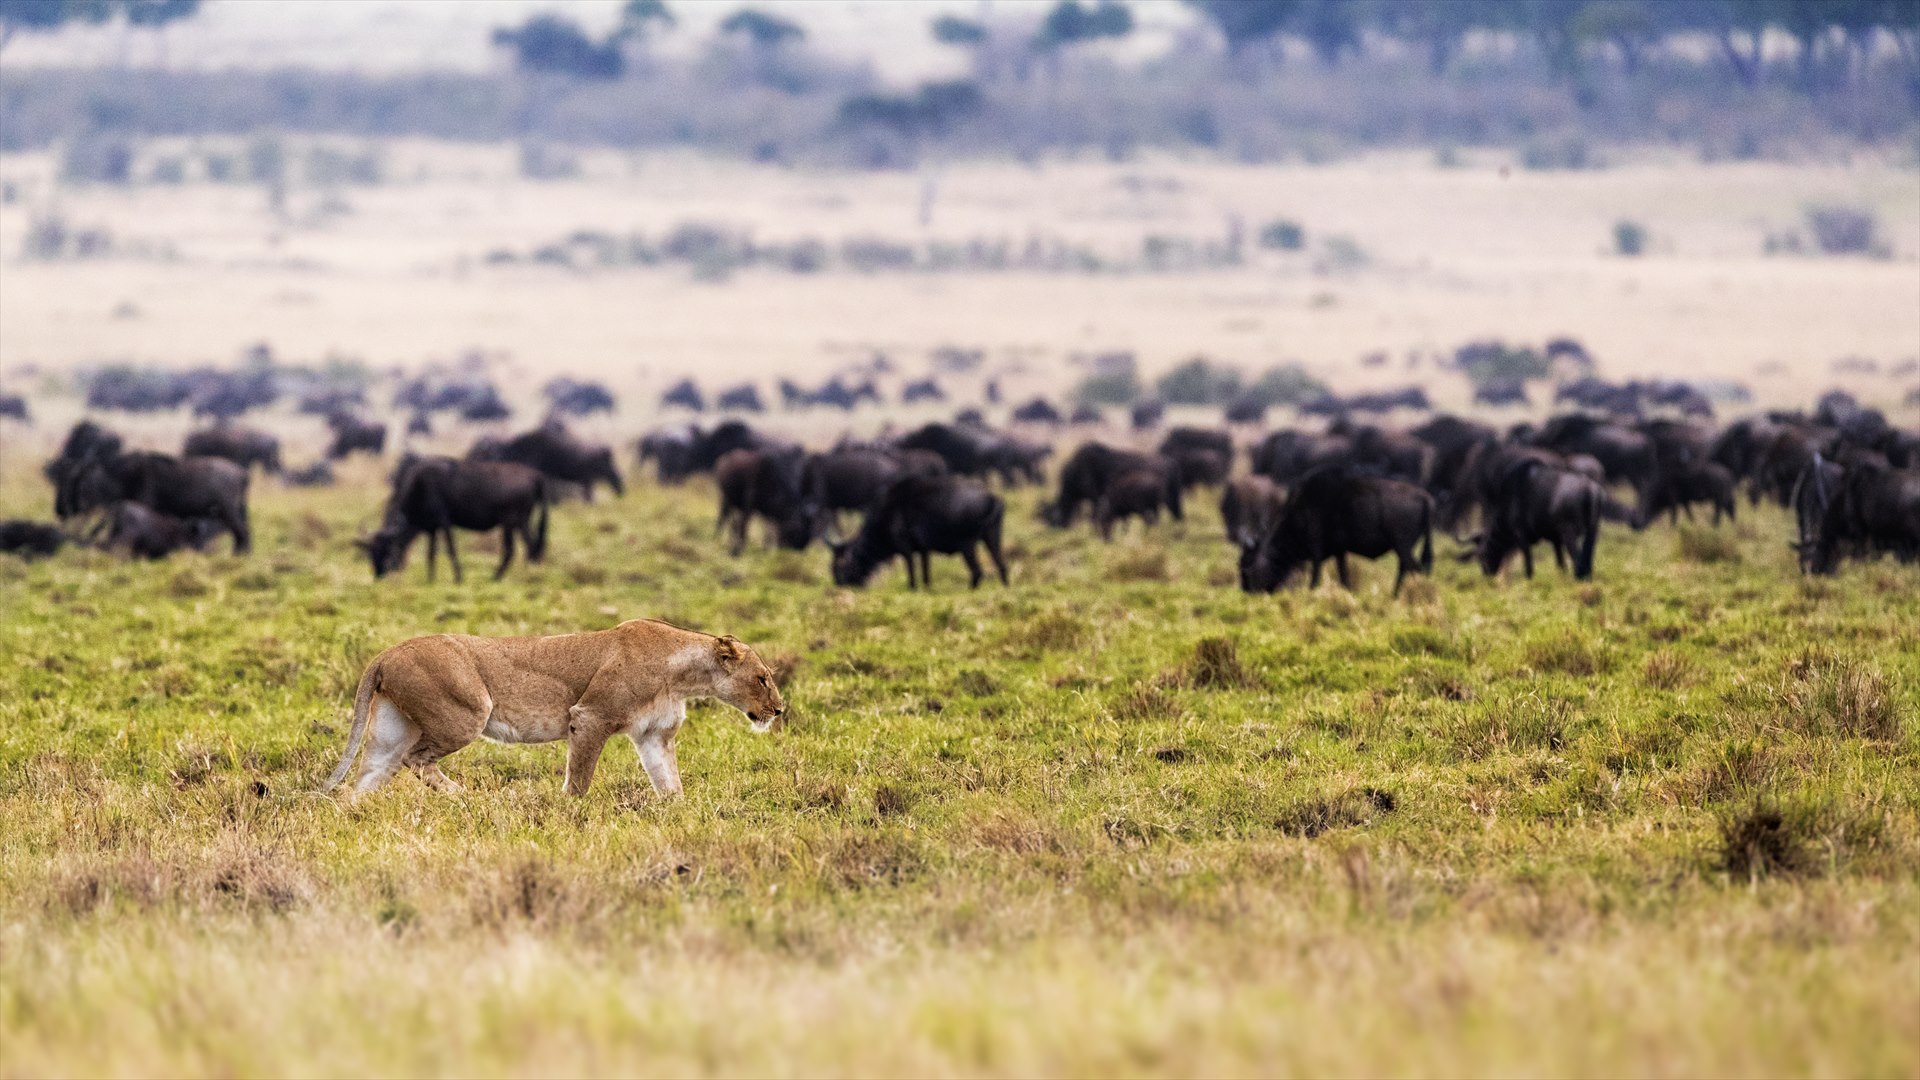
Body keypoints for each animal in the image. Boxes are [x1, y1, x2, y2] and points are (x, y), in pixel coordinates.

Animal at [321, 619, 785, 798]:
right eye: (763, 678)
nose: (780, 710)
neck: (682, 675)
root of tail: (385, 653)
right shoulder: (591, 717)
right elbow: (579, 780)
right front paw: (569, 812)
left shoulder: (655, 735)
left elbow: (670, 783)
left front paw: (679, 812)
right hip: (467, 712)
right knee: (416, 760)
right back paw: (465, 797)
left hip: (391, 728)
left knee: (372, 772)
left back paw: (355, 812)